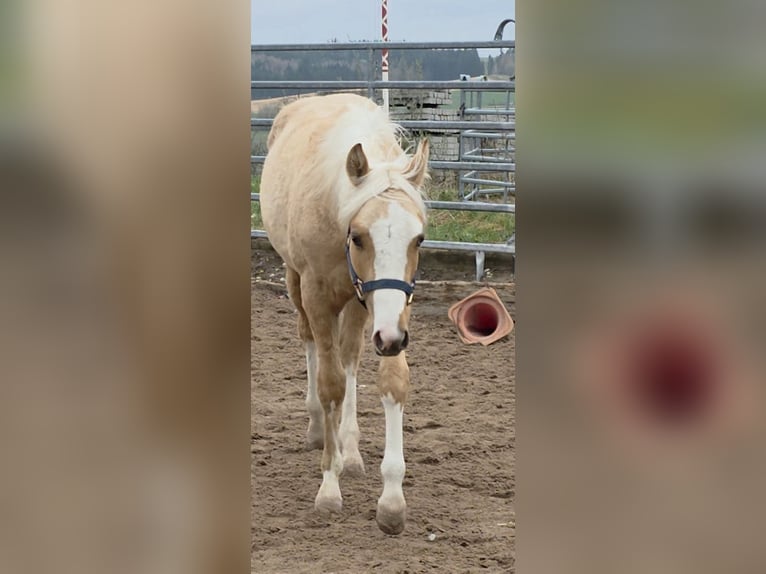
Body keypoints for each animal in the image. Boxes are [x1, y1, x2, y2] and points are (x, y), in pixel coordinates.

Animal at [259, 93, 429, 535]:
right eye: (358, 236)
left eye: (419, 238)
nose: (391, 338)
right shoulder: (317, 295)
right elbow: (330, 384)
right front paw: (329, 487)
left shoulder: (390, 310)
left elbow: (390, 380)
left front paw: (391, 499)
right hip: (294, 280)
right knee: (311, 344)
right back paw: (319, 429)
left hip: (358, 307)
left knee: (350, 356)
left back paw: (349, 450)